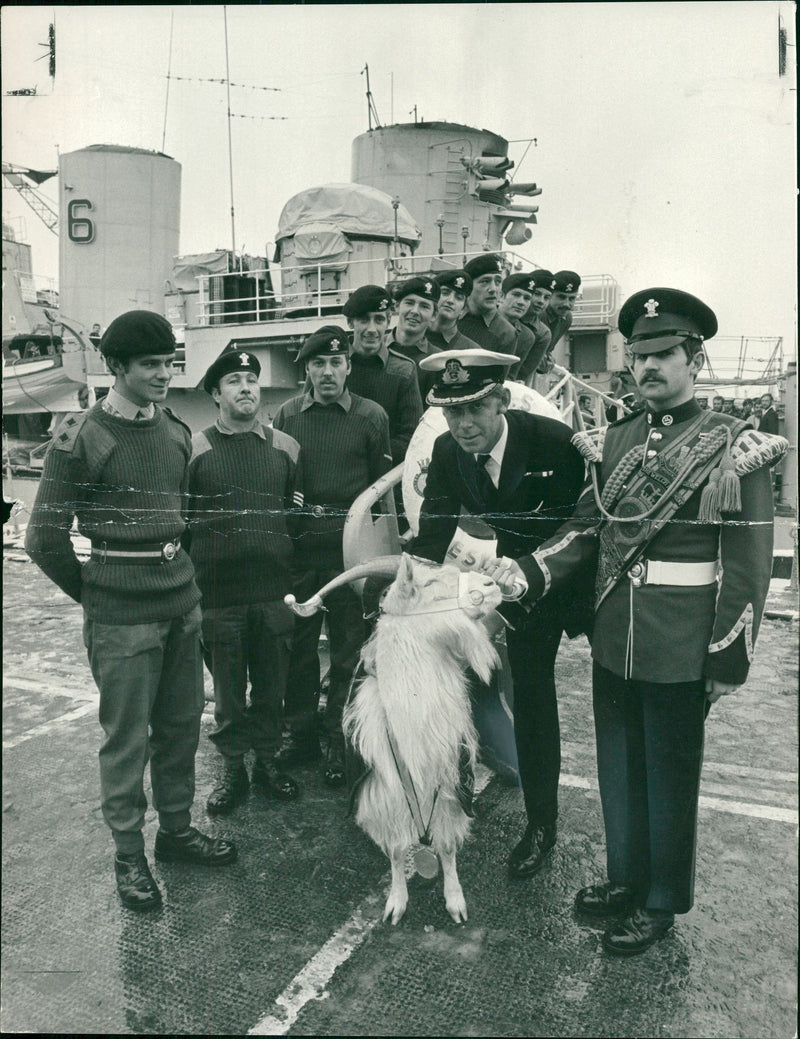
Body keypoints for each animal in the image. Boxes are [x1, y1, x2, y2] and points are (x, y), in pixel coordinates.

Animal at [290, 552, 498, 926]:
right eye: (432, 583)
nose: (492, 584)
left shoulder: (450, 785)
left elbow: (447, 846)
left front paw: (455, 902)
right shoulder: (383, 792)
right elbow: (398, 850)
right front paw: (395, 904)